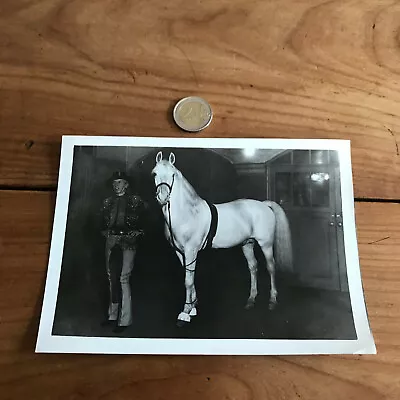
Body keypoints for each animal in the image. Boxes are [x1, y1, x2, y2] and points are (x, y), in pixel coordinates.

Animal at [152, 151, 292, 324]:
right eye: (155, 173)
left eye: (173, 175)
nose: (163, 197)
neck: (188, 213)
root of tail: (264, 204)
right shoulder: (180, 252)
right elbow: (189, 276)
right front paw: (193, 306)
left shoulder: (191, 251)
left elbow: (188, 281)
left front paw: (185, 312)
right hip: (247, 244)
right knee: (253, 267)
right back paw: (251, 300)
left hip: (265, 244)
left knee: (271, 267)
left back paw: (272, 300)